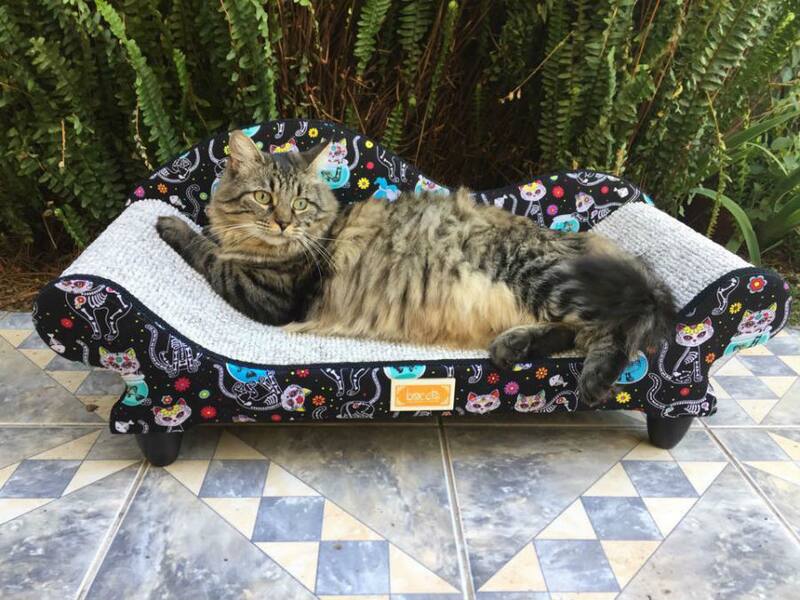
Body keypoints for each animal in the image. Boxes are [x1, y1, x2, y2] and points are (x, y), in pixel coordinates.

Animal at [158, 130, 676, 407]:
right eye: (264, 198)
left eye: (300, 203)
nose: (283, 222)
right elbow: (215, 244)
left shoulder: (272, 295)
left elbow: (208, 254)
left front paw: (171, 225)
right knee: (571, 333)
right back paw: (512, 346)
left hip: (540, 276)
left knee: (618, 332)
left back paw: (594, 381)